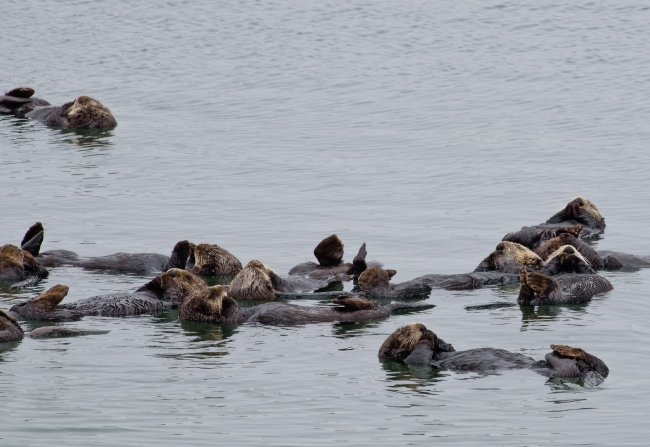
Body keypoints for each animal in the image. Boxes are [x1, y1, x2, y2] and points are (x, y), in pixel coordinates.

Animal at [380, 324, 608, 386]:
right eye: (405, 332)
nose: (421, 326)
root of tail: (585, 370)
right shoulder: (414, 361)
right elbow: (420, 355)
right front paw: (428, 336)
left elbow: (447, 349)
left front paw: (440, 340)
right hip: (563, 370)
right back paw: (559, 350)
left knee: (601, 365)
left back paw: (563, 348)